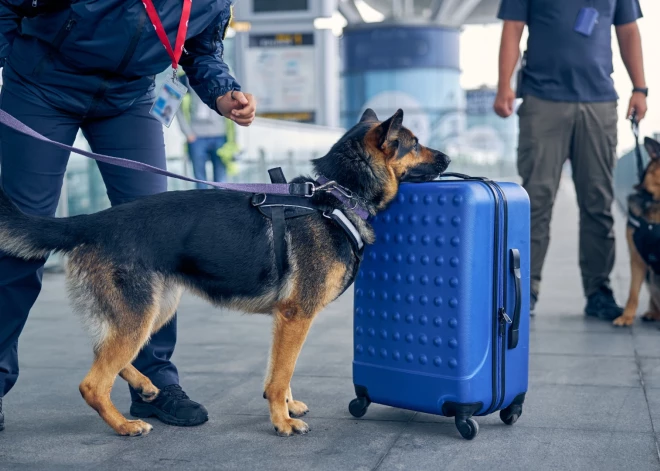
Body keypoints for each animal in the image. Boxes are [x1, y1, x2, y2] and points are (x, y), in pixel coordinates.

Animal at [0, 109, 452, 436]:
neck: (336, 195)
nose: (448, 157)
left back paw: (146, 386)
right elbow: (281, 373)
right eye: (414, 144)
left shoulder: (285, 321)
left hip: (154, 309)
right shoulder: (297, 316)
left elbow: (279, 371)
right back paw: (125, 425)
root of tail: (90, 221)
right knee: (92, 382)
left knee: (103, 353)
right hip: (139, 315)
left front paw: (285, 406)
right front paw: (282, 422)